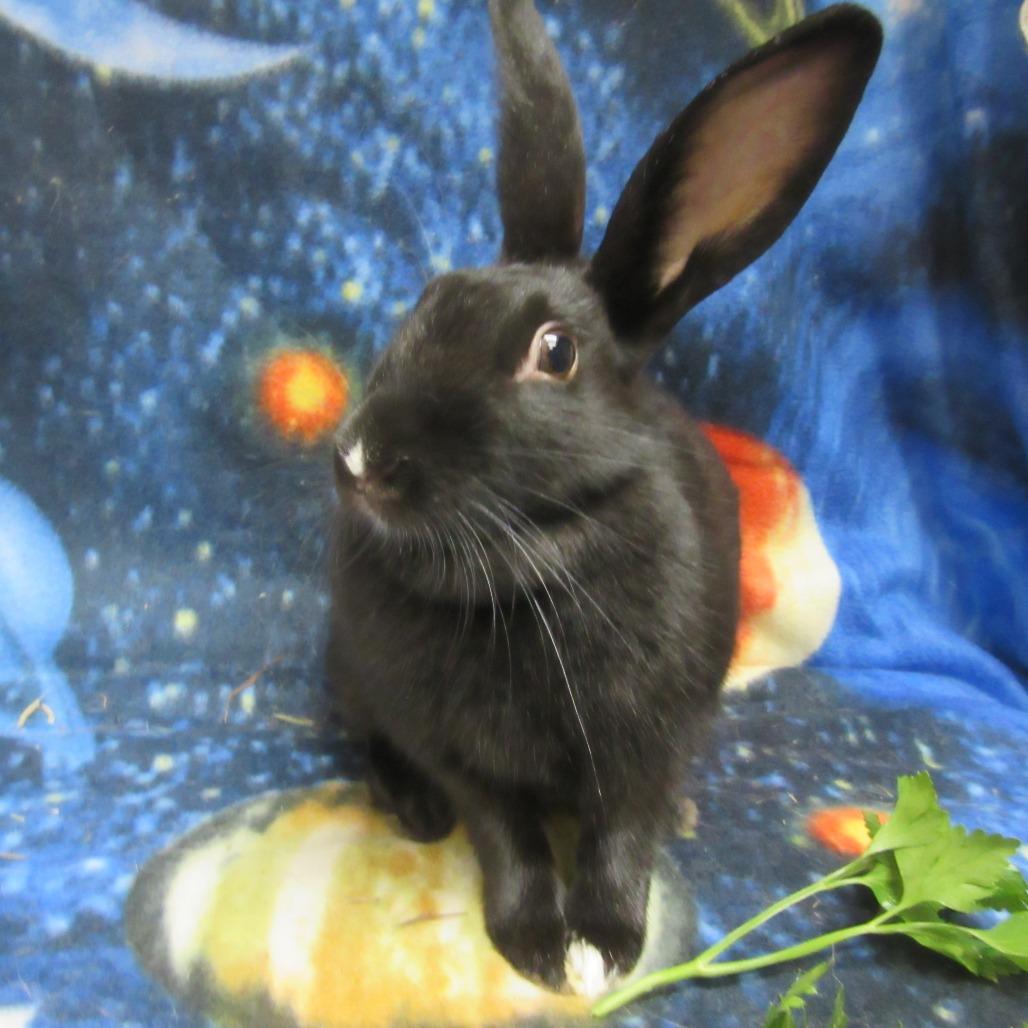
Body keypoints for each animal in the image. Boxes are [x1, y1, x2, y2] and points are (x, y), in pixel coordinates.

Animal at [325, 0, 881, 996]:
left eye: (555, 352)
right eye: (424, 302)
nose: (360, 458)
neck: (531, 562)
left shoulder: (645, 749)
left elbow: (622, 836)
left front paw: (610, 944)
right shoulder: (462, 756)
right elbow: (507, 840)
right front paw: (537, 948)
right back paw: (413, 809)